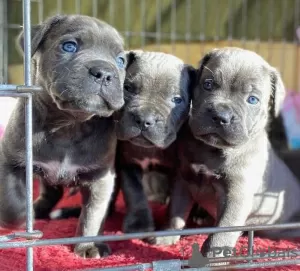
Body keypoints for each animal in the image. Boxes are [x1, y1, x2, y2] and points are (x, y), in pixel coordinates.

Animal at [0, 14, 126, 260]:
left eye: (120, 61)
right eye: (69, 46)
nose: (104, 72)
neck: (68, 125)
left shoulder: (101, 177)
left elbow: (93, 215)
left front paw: (88, 245)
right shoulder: (11, 159)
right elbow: (10, 194)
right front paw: (17, 217)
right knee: (51, 191)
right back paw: (38, 210)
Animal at [156, 48, 300, 260]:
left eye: (252, 99)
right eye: (208, 84)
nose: (220, 116)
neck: (213, 150)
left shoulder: (237, 196)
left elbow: (223, 230)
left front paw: (212, 258)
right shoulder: (183, 179)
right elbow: (176, 211)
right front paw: (166, 236)